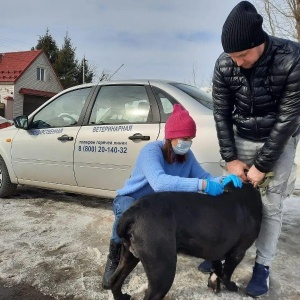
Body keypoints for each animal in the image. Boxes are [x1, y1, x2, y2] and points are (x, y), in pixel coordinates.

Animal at [109, 183, 262, 300]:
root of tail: (133, 212)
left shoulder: (216, 248)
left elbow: (217, 267)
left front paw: (214, 283)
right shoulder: (238, 252)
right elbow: (226, 274)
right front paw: (230, 286)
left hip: (130, 256)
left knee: (115, 281)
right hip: (163, 272)